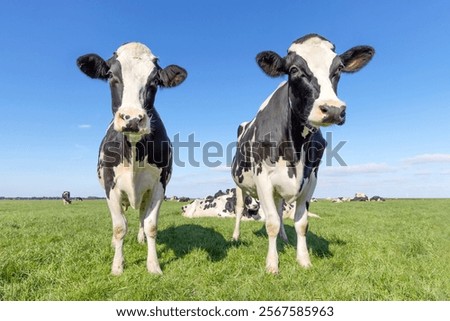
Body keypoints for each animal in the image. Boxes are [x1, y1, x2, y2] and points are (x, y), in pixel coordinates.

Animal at [77, 41, 186, 274]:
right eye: (111, 75)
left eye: (155, 80)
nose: (133, 118)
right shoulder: (110, 184)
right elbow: (119, 227)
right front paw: (117, 267)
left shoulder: (159, 185)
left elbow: (151, 225)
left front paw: (153, 266)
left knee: (142, 216)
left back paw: (141, 238)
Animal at [230, 33, 374, 272]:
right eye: (294, 69)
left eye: (339, 68)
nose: (333, 109)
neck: (295, 147)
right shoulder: (263, 177)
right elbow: (270, 222)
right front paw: (272, 265)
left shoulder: (311, 178)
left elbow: (301, 223)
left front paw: (304, 260)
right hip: (240, 184)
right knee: (242, 208)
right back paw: (235, 236)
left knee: (280, 211)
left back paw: (284, 238)